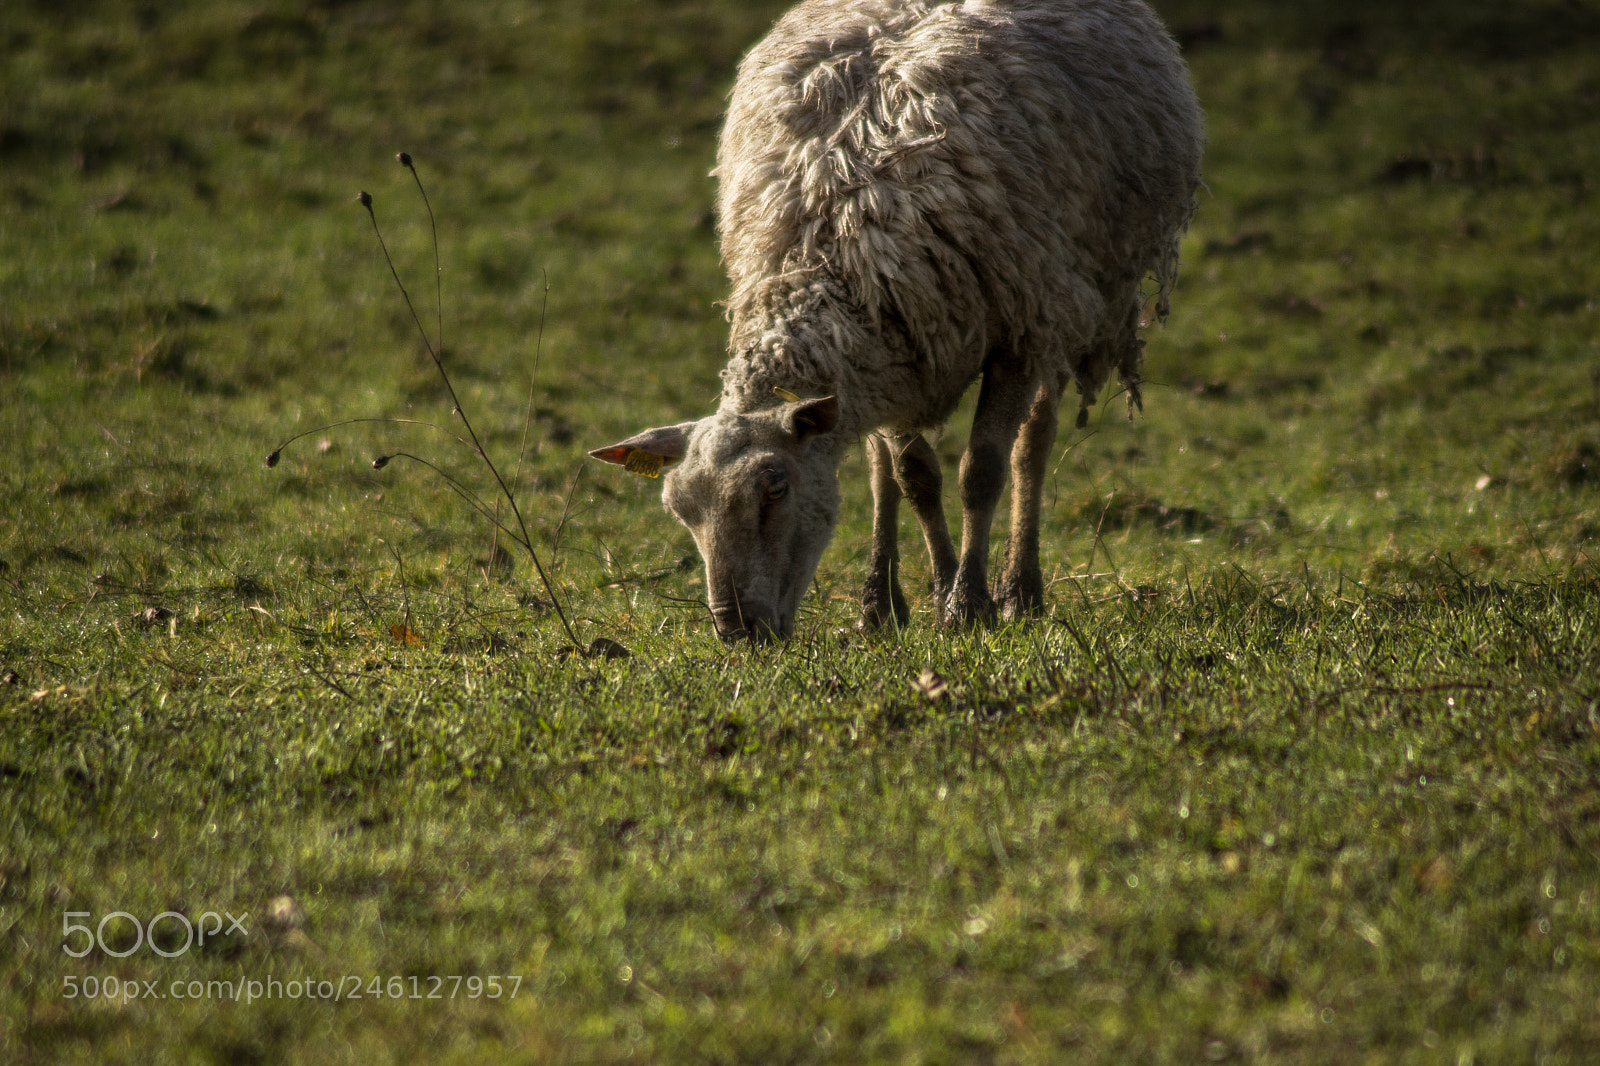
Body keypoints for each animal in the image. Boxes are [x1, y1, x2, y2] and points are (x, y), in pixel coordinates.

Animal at [591, 0, 1203, 641]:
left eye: (775, 488)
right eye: (680, 510)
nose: (737, 631)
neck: (828, 253)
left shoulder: (1014, 329)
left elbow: (982, 470)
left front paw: (968, 604)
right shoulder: (889, 342)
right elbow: (913, 475)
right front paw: (931, 593)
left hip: (1069, 294)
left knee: (1032, 444)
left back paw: (1021, 590)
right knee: (883, 470)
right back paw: (881, 603)